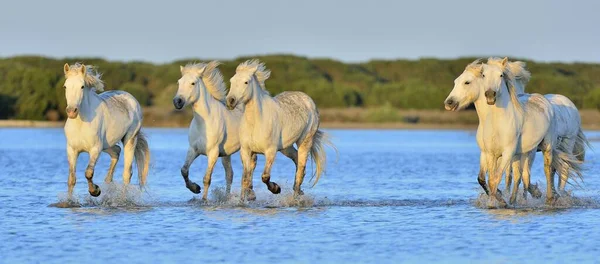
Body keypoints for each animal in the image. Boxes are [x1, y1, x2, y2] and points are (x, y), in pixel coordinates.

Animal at [62, 63, 149, 197]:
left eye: (82, 86)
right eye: (65, 86)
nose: (71, 111)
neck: (81, 123)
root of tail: (131, 98)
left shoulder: (95, 149)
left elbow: (88, 173)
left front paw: (95, 191)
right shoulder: (72, 150)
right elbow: (71, 179)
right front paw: (69, 200)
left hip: (130, 139)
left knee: (126, 173)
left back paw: (122, 199)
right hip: (107, 145)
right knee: (116, 151)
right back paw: (108, 181)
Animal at [225, 59, 332, 200]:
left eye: (246, 82)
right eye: (232, 81)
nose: (230, 101)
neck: (256, 122)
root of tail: (308, 100)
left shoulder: (270, 151)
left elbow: (265, 176)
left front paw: (276, 189)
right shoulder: (246, 151)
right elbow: (245, 179)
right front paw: (243, 200)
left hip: (305, 141)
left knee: (301, 166)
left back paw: (296, 197)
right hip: (286, 147)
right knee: (297, 160)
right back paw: (298, 191)